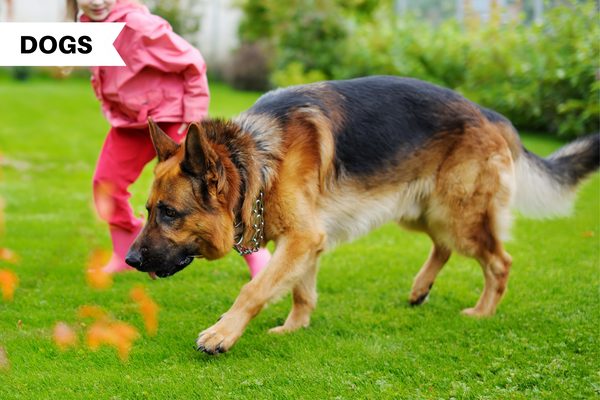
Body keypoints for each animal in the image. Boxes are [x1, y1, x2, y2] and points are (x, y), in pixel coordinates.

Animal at [124, 74, 596, 354]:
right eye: (147, 210)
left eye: (169, 213)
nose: (129, 260)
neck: (256, 158)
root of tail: (492, 115)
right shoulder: (306, 242)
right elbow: (300, 290)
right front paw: (295, 327)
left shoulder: (303, 238)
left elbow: (255, 288)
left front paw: (223, 333)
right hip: (422, 211)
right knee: (443, 247)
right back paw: (420, 289)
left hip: (457, 215)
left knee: (499, 261)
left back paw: (482, 312)